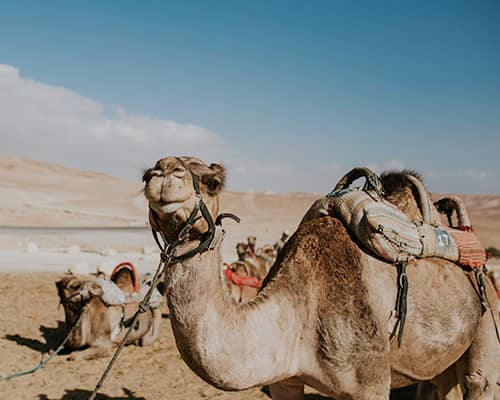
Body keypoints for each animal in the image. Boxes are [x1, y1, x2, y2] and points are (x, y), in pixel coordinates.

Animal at [143, 156, 498, 400]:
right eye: (146, 174)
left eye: (213, 182)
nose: (164, 171)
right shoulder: (284, 381)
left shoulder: (370, 383)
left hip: (488, 313)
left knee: (478, 379)